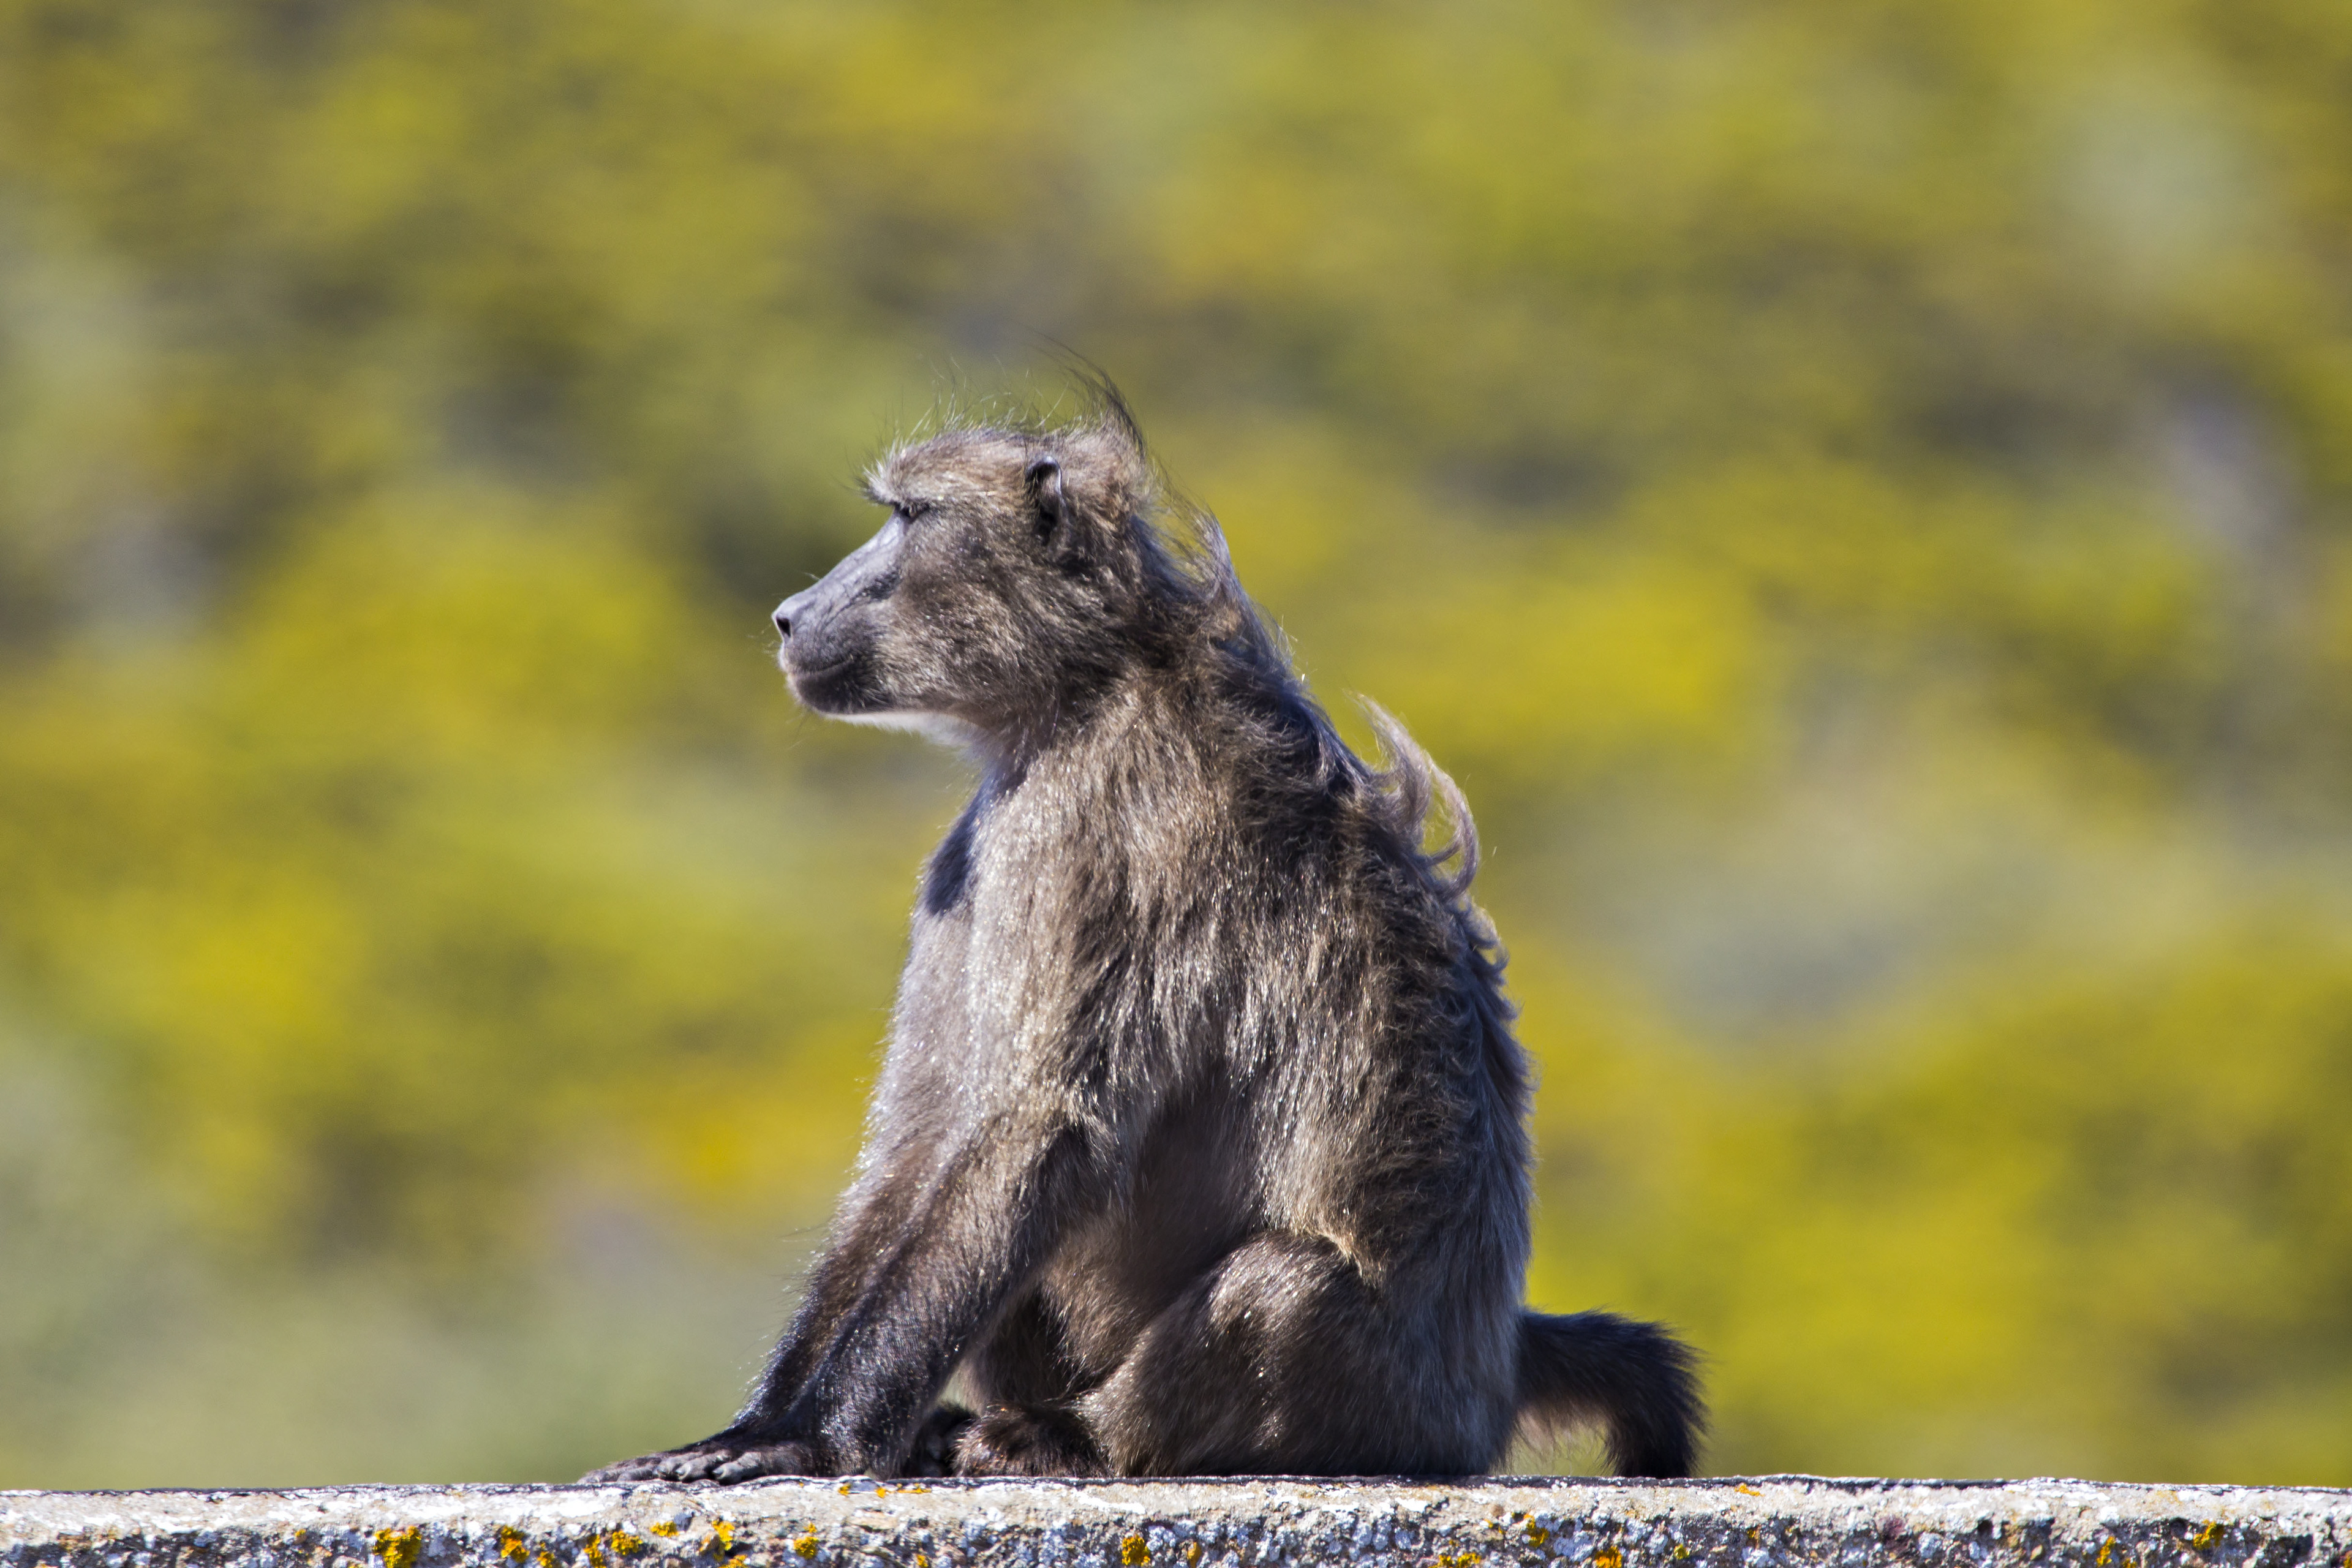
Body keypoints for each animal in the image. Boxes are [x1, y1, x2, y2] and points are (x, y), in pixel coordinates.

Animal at [585, 382, 1702, 1484]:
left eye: (910, 516)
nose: (789, 615)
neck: (1090, 681)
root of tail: (1489, 1378)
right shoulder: (973, 854)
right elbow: (918, 1143)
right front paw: (757, 1425)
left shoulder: (1080, 831)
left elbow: (1044, 1124)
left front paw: (808, 1439)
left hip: (1374, 1392)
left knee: (1274, 1282)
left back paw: (1067, 1437)